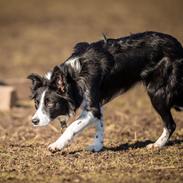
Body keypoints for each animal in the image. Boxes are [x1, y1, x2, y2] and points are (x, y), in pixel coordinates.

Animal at [27, 31, 183, 153]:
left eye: (50, 103)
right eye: (36, 103)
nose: (34, 121)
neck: (73, 77)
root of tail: (177, 45)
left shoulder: (92, 108)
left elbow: (72, 127)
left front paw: (57, 144)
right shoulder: (96, 106)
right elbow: (99, 126)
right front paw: (97, 146)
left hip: (157, 93)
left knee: (171, 124)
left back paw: (157, 144)